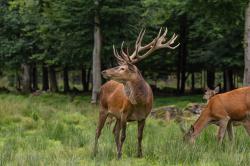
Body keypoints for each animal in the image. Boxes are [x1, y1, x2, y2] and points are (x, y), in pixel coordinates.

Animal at [93, 27, 179, 158]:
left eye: (123, 68)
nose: (103, 71)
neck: (139, 103)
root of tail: (103, 86)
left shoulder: (143, 116)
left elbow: (139, 136)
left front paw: (139, 154)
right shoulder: (124, 113)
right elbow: (123, 136)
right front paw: (120, 155)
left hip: (116, 115)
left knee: (114, 131)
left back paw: (116, 151)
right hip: (102, 108)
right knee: (98, 130)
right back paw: (95, 152)